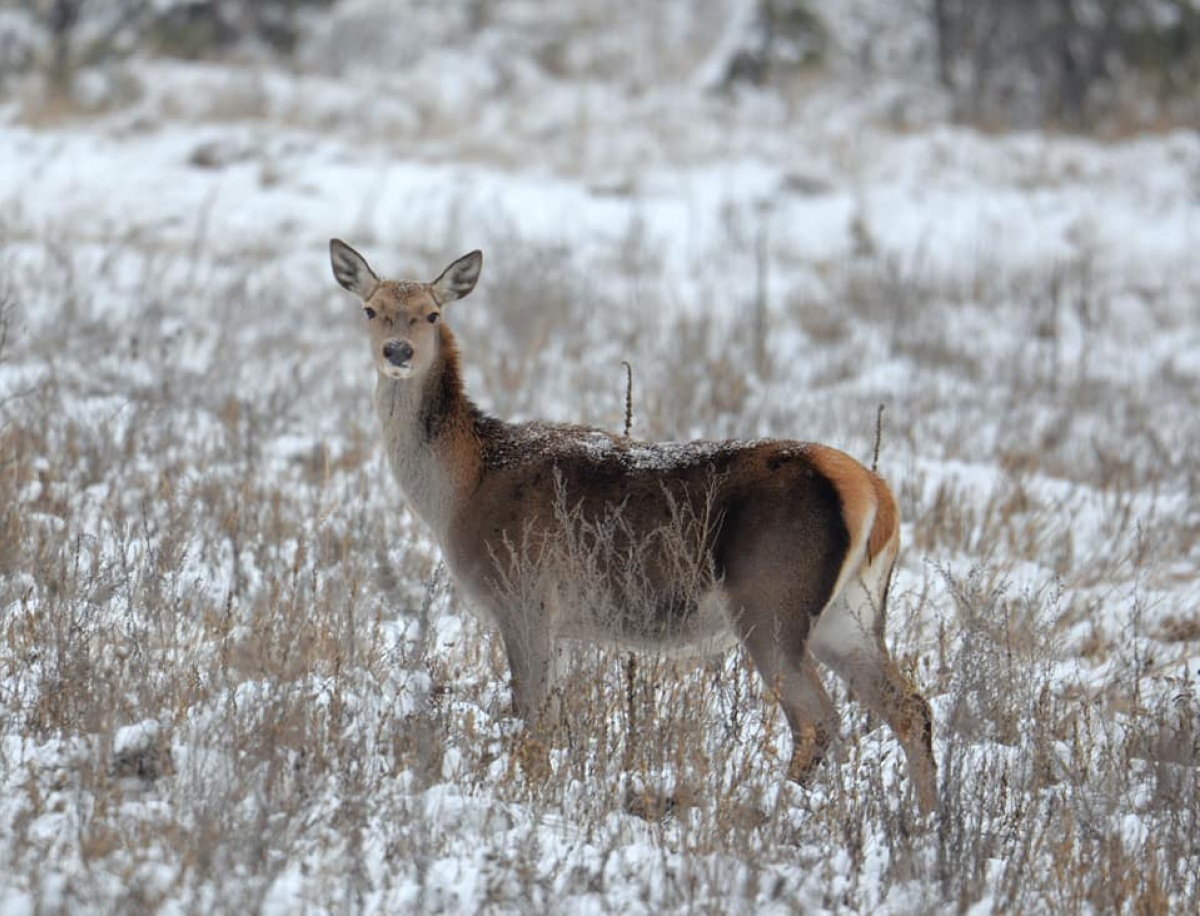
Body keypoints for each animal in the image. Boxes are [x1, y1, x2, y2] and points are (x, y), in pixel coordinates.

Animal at [333, 240, 940, 811]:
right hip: (850, 613)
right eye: (371, 310)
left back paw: (775, 810)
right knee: (911, 707)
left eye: (432, 313)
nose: (397, 351)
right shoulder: (555, 621)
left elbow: (531, 720)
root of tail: (875, 495)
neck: (464, 487)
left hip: (772, 598)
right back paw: (929, 821)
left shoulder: (522, 596)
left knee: (818, 720)